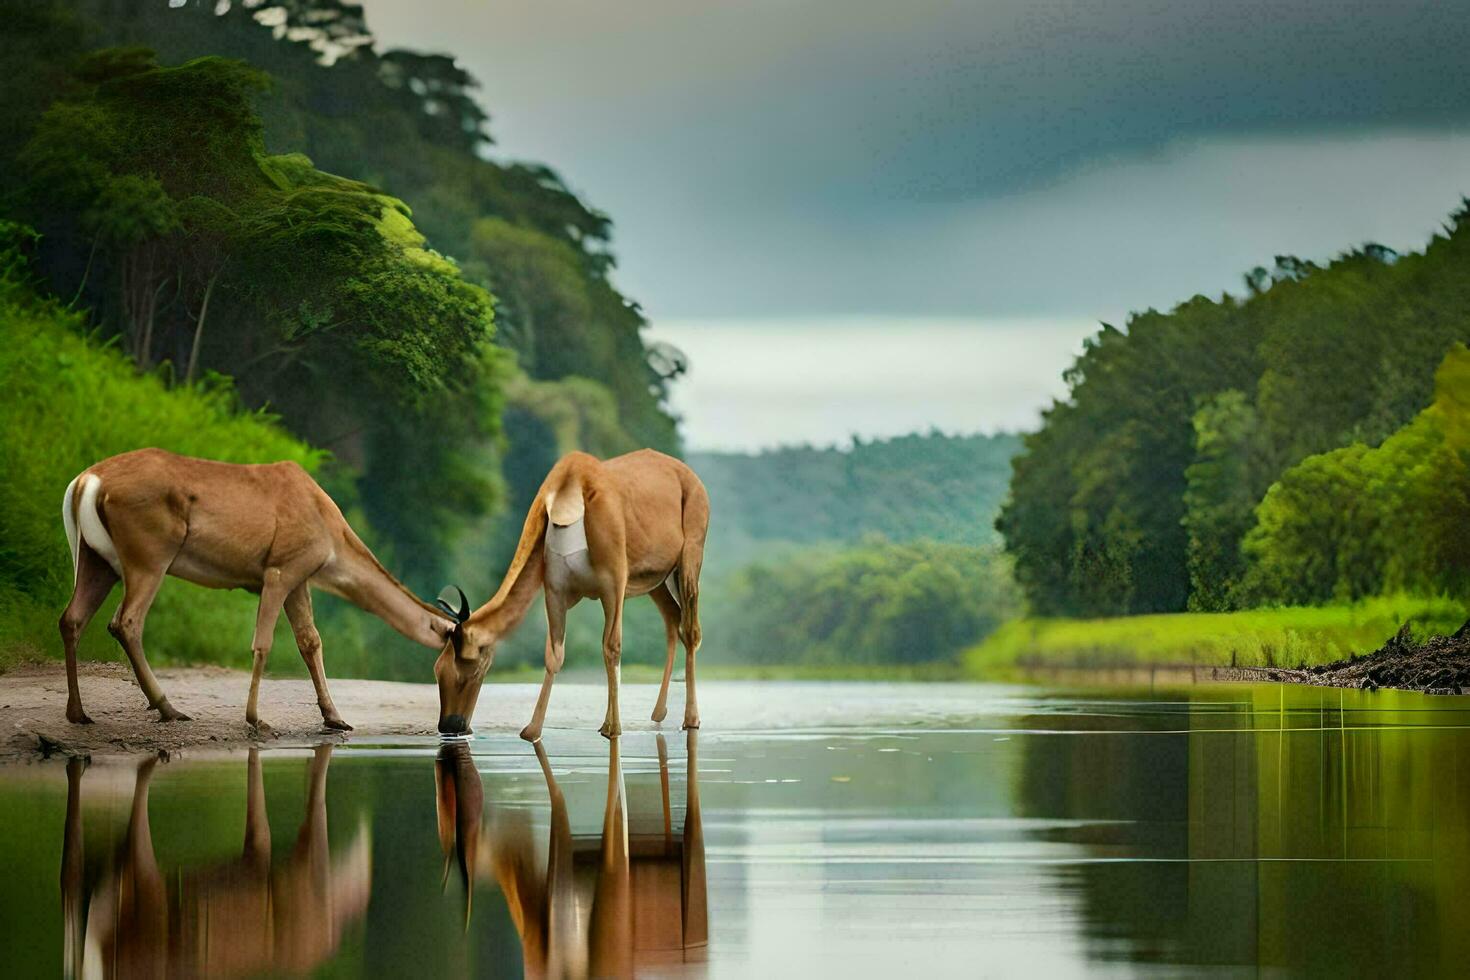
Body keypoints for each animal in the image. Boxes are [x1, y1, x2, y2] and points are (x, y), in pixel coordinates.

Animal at [60, 449, 455, 731]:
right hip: (149, 557)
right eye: (456, 645)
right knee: (125, 621)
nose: (455, 724)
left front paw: (335, 718)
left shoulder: (301, 579)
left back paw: (78, 713)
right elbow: (264, 643)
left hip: (96, 560)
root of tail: (85, 482)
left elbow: (310, 642)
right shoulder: (281, 570)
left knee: (71, 618)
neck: (332, 538)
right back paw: (169, 708)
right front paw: (255, 718)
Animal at [429, 449, 711, 734]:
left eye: (469, 667)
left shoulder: (613, 583)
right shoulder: (556, 588)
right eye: (437, 669)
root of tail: (690, 476)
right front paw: (532, 730)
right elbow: (555, 655)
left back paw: (691, 718)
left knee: (691, 629)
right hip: (656, 579)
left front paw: (612, 729)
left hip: (690, 556)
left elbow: (612, 646)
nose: (450, 725)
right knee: (673, 618)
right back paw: (658, 712)